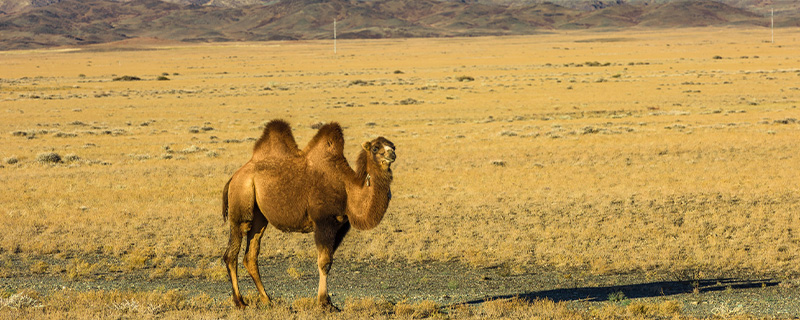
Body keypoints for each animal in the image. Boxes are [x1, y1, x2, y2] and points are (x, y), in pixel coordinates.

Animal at [220, 119, 396, 308]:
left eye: (393, 145)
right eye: (375, 148)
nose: (392, 154)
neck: (347, 189)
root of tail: (235, 176)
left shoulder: (340, 226)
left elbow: (328, 260)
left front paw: (327, 302)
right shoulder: (323, 222)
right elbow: (324, 262)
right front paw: (325, 303)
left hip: (259, 216)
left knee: (250, 255)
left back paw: (267, 299)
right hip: (241, 202)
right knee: (231, 253)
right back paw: (240, 302)